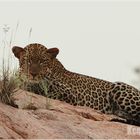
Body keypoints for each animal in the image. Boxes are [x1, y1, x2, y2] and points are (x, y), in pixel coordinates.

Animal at [12, 43, 140, 124]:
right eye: (27, 61)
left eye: (42, 61)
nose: (33, 73)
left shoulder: (69, 95)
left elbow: (40, 87)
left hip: (118, 87)